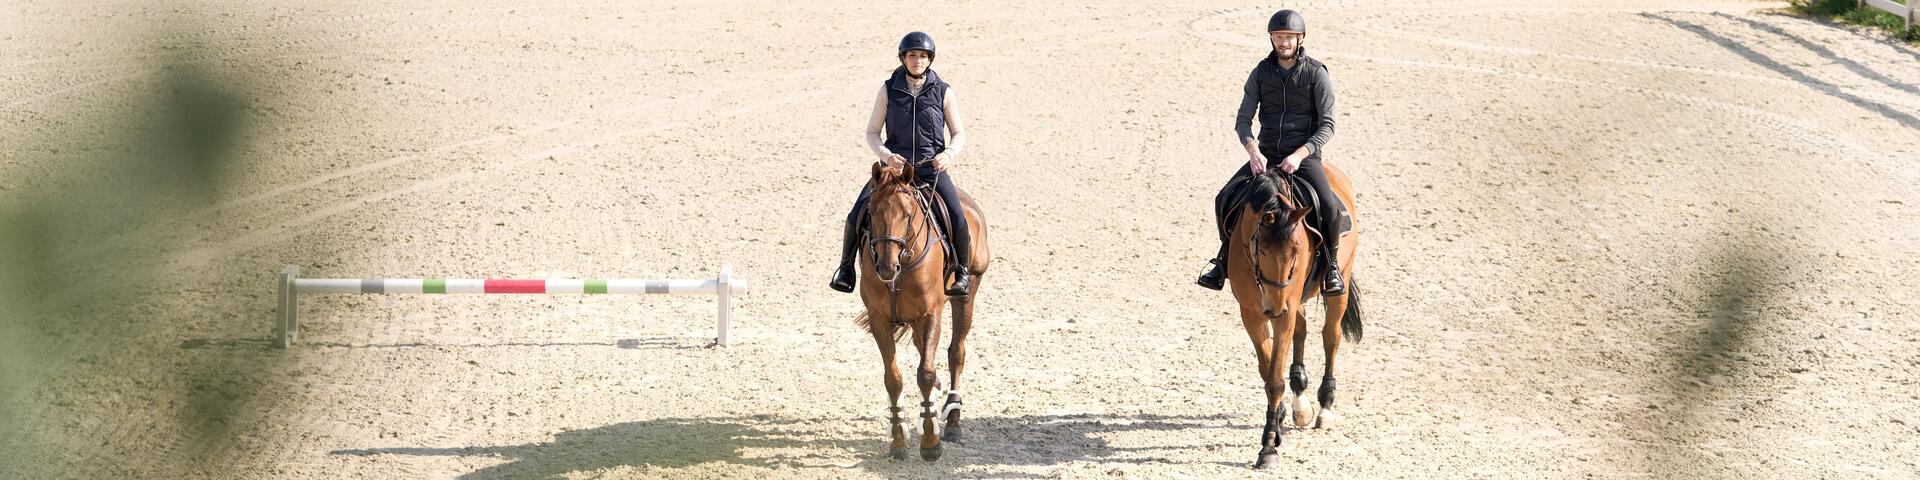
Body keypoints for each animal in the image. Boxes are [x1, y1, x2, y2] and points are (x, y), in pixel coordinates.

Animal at [852, 161, 990, 460]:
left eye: (907, 214)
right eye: (872, 211)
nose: (887, 268)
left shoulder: (930, 315)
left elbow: (925, 373)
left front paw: (930, 442)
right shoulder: (879, 319)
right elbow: (893, 378)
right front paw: (898, 440)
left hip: (967, 293)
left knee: (956, 351)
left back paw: (953, 422)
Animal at [1228, 168, 1367, 468]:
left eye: (1296, 252)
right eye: (1262, 250)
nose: (1273, 308)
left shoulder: (1285, 311)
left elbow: (1274, 380)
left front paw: (1269, 446)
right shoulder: (1251, 313)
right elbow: (1268, 370)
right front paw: (1279, 418)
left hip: (1339, 283)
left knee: (1331, 337)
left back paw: (1325, 407)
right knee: (1301, 332)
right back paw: (1300, 399)